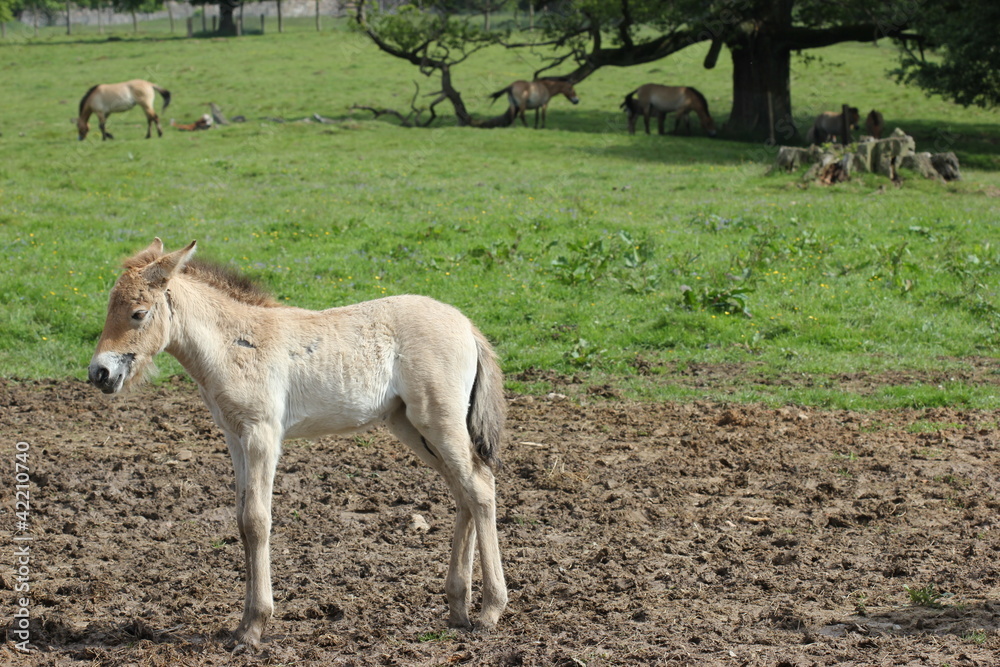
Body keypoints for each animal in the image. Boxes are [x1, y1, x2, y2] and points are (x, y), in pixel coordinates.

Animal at [88, 241, 508, 652]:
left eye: (139, 313)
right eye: (109, 308)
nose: (99, 373)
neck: (234, 343)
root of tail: (467, 325)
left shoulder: (262, 435)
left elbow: (257, 521)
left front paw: (255, 628)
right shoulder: (234, 437)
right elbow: (240, 520)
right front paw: (241, 626)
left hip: (439, 421)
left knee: (480, 488)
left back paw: (490, 610)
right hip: (410, 425)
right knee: (463, 492)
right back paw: (457, 609)